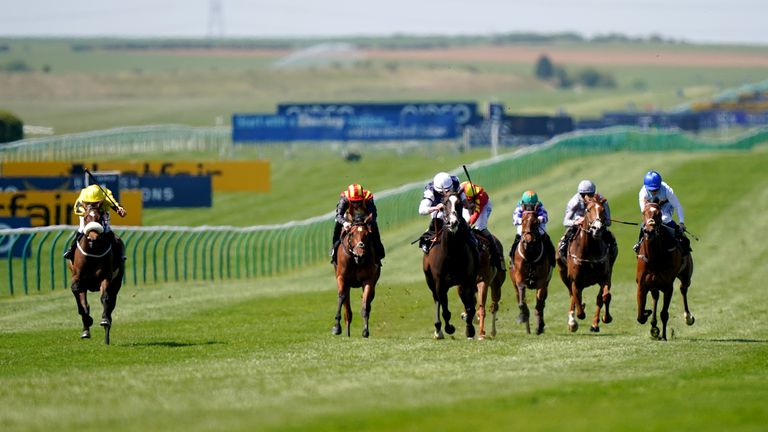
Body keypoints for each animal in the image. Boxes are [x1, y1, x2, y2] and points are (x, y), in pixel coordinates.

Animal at [67, 204, 124, 346]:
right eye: (86, 217)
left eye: (100, 217)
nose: (93, 237)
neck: (92, 250)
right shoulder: (77, 278)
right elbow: (81, 301)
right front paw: (87, 322)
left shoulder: (106, 277)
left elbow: (105, 299)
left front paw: (104, 320)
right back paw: (86, 330)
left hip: (117, 282)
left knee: (111, 303)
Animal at [424, 192, 476, 338]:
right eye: (445, 203)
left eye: (459, 204)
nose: (452, 222)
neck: (451, 254)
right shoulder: (440, 283)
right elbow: (445, 310)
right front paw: (449, 328)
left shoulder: (467, 280)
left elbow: (470, 307)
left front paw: (470, 329)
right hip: (431, 281)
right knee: (437, 300)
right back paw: (438, 330)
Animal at [556, 196, 616, 334]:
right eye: (588, 210)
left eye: (603, 210)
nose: (597, 228)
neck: (590, 251)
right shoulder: (575, 280)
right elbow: (577, 299)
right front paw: (575, 319)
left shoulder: (605, 277)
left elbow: (605, 296)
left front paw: (605, 318)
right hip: (563, 274)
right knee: (572, 294)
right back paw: (572, 321)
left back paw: (594, 324)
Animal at [636, 202, 696, 340]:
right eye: (644, 212)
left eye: (659, 213)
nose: (649, 231)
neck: (654, 258)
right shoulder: (642, 285)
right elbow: (640, 316)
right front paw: (649, 318)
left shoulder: (668, 286)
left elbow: (664, 313)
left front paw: (663, 336)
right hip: (654, 284)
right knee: (655, 297)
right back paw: (653, 324)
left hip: (686, 275)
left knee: (683, 289)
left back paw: (688, 317)